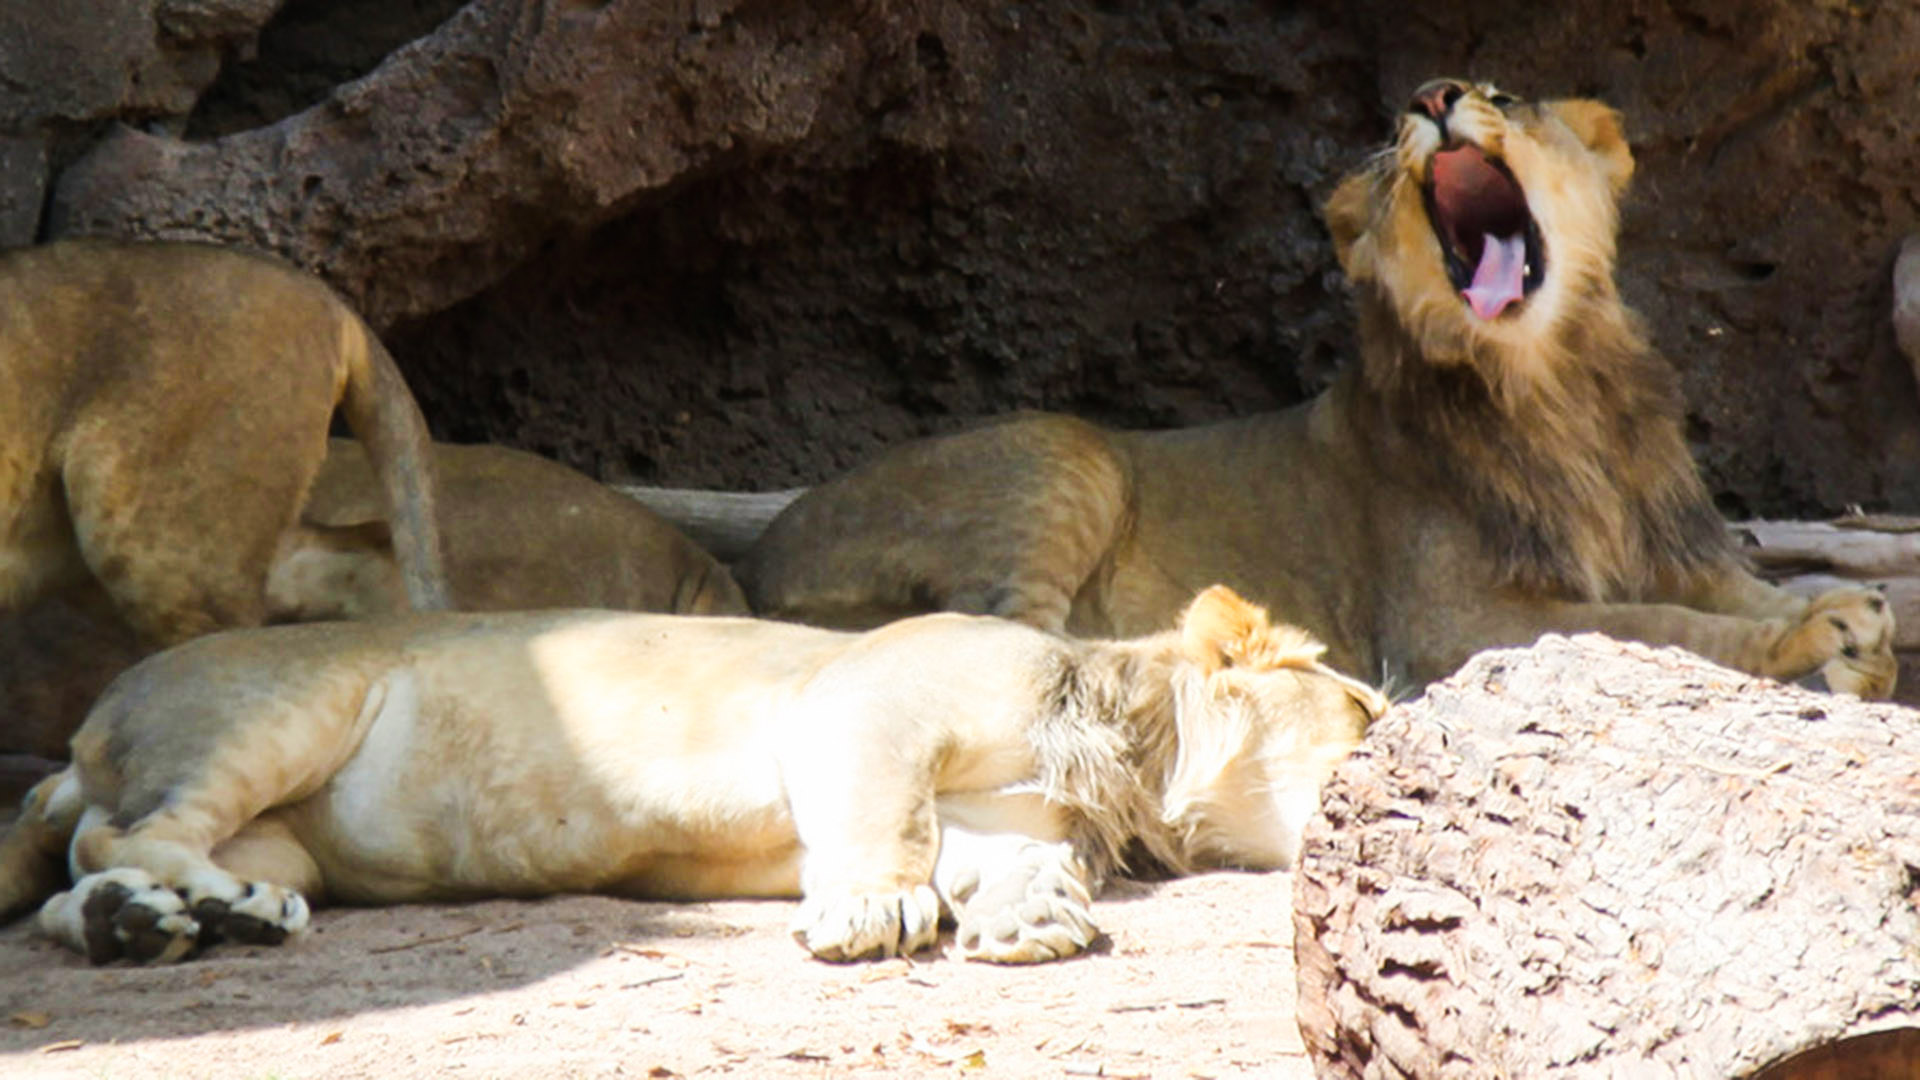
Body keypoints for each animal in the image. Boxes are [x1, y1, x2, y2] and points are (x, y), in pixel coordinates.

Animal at [0, 584, 1382, 960]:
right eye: (1366, 704)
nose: (1397, 711)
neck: (1128, 761)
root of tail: (81, 735)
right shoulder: (862, 699)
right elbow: (886, 826)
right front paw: (873, 912)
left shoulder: (1000, 813)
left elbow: (1014, 860)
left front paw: (1036, 918)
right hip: (284, 701)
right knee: (110, 835)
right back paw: (206, 911)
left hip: (283, 823)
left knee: (77, 880)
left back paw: (148, 927)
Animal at [725, 77, 1896, 699]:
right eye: (1393, 131)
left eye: (1504, 96)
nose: (1432, 96)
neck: (1559, 387)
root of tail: (760, 565)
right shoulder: (1450, 619)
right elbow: (1659, 628)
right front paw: (1811, 641)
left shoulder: (1675, 549)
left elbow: (1733, 593)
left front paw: (1854, 621)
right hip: (1070, 451)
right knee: (1024, 635)